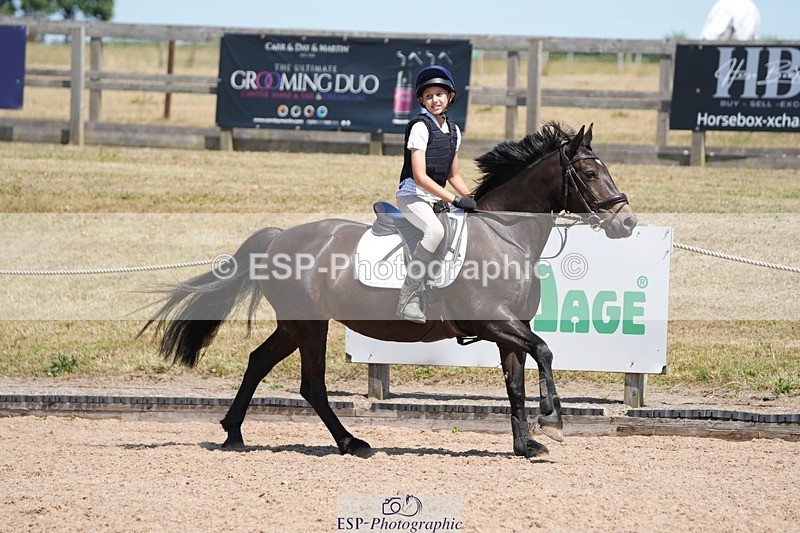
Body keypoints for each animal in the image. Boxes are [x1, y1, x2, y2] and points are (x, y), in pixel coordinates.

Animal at [140, 122, 637, 458]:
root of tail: (280, 238)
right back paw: (351, 442)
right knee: (311, 385)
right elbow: (546, 350)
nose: (627, 222)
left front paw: (526, 444)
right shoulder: (493, 321)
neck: (505, 236)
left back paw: (234, 433)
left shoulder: (510, 329)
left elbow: (515, 383)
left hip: (294, 325)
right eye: (590, 174)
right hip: (309, 325)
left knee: (259, 361)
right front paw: (552, 417)